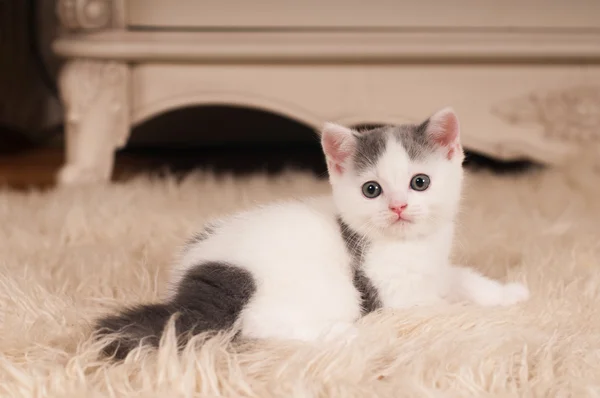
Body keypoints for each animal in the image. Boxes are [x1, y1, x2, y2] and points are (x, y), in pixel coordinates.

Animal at [96, 107, 528, 360]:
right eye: (372, 190)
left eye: (419, 182)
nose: (398, 207)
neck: (411, 245)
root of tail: (211, 277)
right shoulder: (395, 295)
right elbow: (442, 308)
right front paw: (476, 314)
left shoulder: (435, 268)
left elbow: (461, 278)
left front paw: (506, 294)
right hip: (322, 289)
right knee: (255, 328)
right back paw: (342, 334)